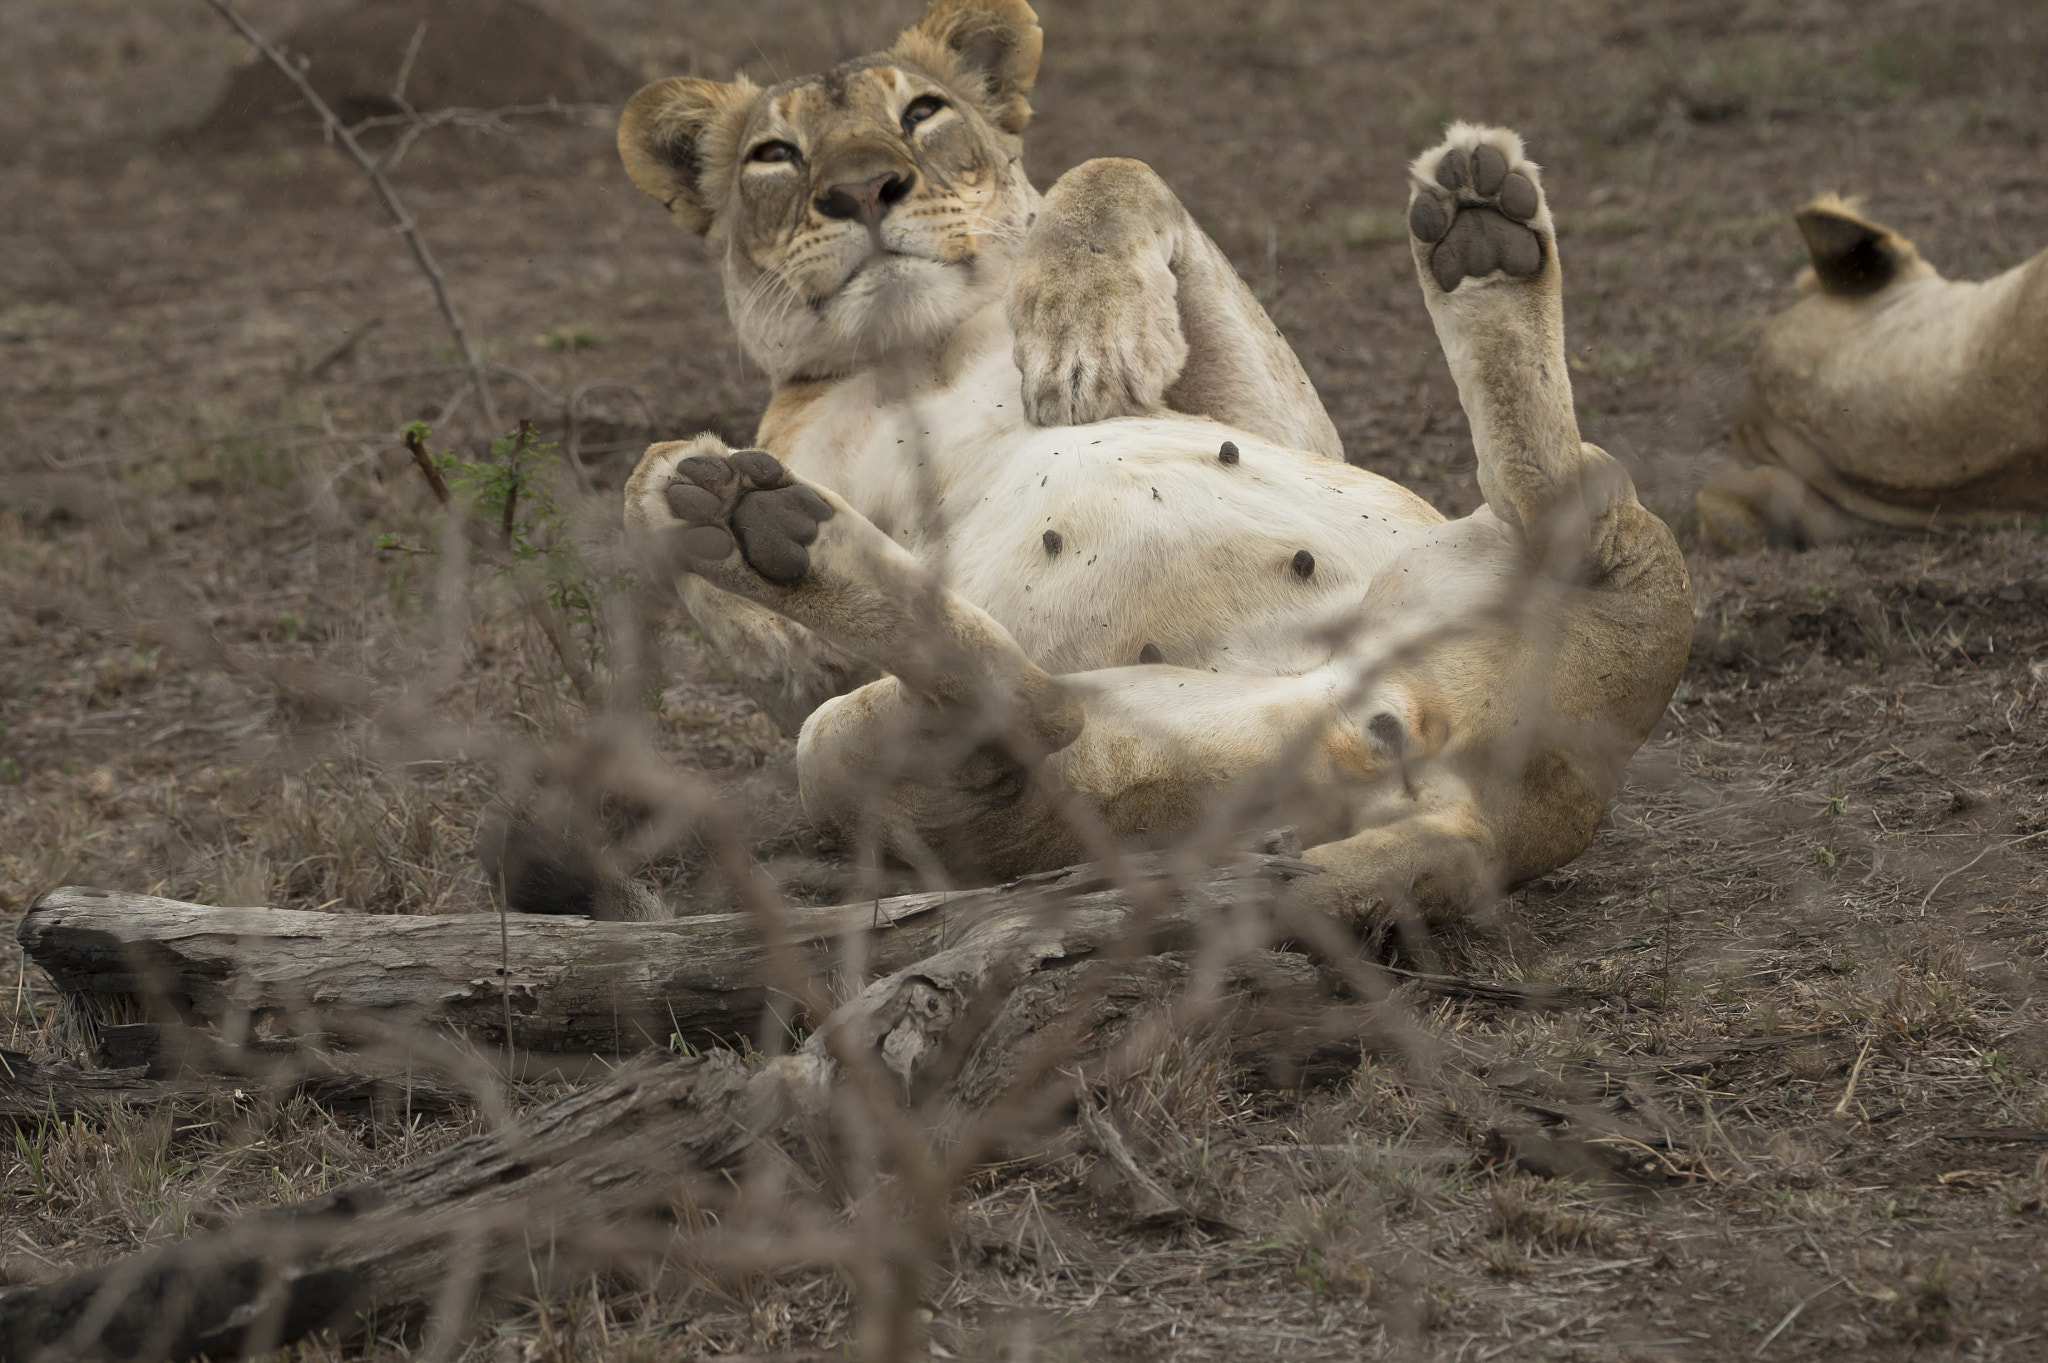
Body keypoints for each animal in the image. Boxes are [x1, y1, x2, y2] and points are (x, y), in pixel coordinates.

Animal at [540, 0, 1691, 933]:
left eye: (921, 113)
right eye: (774, 155)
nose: (864, 190)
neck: (916, 347)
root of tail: (1477, 809)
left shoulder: (1285, 420)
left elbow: (1112, 173)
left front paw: (1080, 330)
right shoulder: (804, 683)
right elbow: (686, 547)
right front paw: (687, 517)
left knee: (1562, 501)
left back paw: (1480, 223)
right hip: (919, 760)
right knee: (1023, 716)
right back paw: (744, 517)